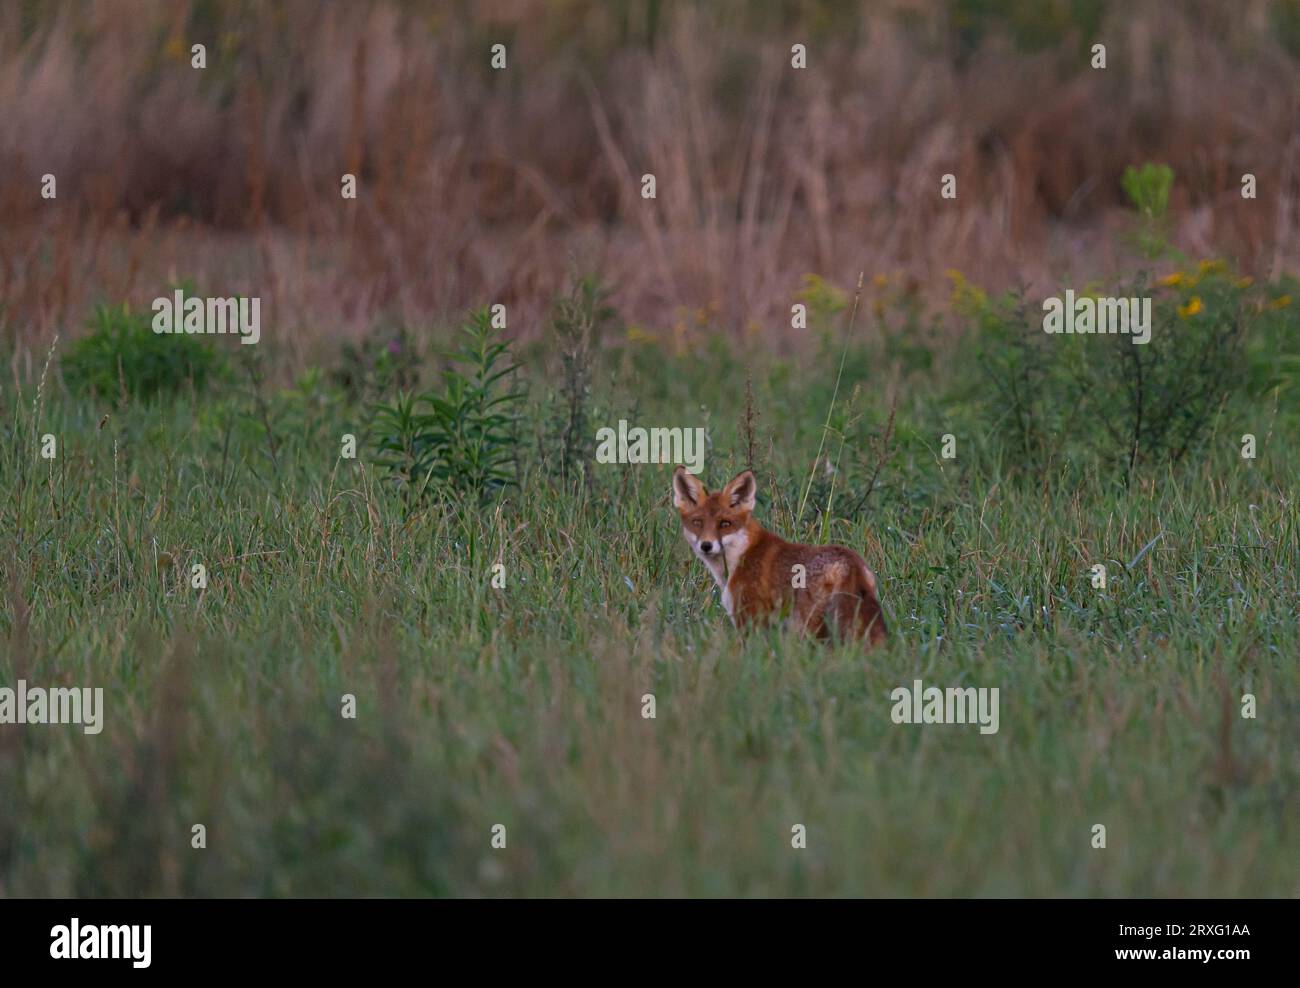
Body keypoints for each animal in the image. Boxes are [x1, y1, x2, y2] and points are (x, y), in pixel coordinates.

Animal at [676, 467, 889, 644]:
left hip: (811, 626)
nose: (706, 545)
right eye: (697, 522)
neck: (741, 555)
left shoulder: (749, 618)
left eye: (725, 524)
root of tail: (851, 563)